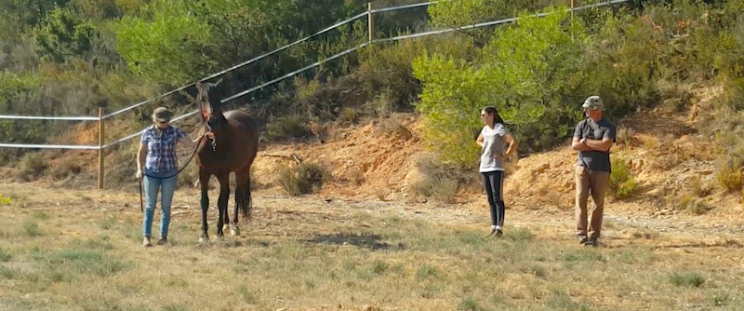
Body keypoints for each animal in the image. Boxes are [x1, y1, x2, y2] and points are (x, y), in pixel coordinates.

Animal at [193, 78, 260, 244]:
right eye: (202, 99)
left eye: (219, 98)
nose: (212, 122)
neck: (213, 143)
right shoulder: (203, 173)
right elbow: (205, 201)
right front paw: (204, 234)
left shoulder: (222, 174)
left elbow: (220, 201)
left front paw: (218, 232)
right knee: (229, 194)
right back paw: (226, 224)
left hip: (243, 168)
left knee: (236, 193)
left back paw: (234, 226)